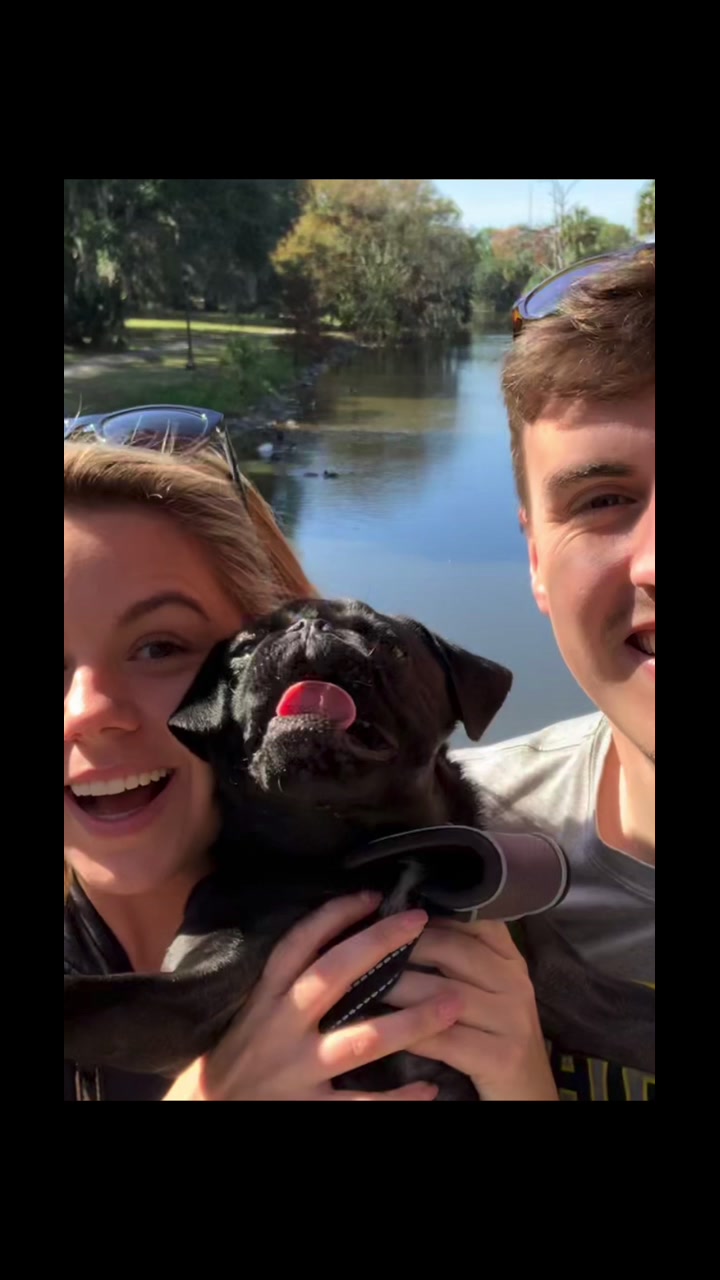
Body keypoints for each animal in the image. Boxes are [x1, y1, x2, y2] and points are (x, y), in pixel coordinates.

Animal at [64, 599, 514, 1100]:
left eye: (389, 645)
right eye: (242, 653)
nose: (309, 626)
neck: (351, 852)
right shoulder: (192, 989)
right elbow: (100, 998)